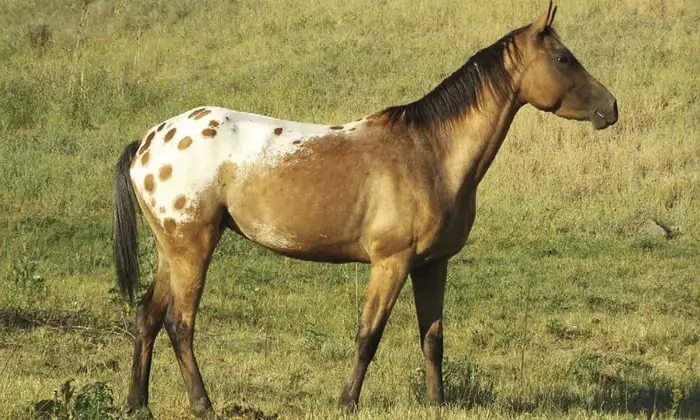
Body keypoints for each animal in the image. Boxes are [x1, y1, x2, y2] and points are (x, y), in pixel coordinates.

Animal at [113, 2, 616, 416]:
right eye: (563, 58)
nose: (611, 107)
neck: (429, 152)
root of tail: (149, 142)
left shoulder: (431, 265)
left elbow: (432, 337)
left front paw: (438, 402)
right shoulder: (390, 263)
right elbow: (368, 334)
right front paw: (347, 402)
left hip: (171, 250)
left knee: (148, 316)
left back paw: (138, 402)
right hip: (193, 247)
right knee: (180, 324)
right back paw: (202, 404)